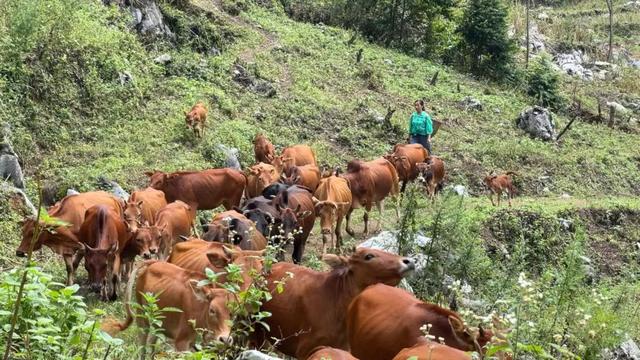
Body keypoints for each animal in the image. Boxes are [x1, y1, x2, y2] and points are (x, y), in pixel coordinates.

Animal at [106, 260, 234, 352]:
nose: (225, 339)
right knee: (142, 347)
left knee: (151, 344)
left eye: (234, 313)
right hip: (142, 318)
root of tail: (153, 262)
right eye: (212, 310)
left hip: (158, 324)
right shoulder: (181, 342)